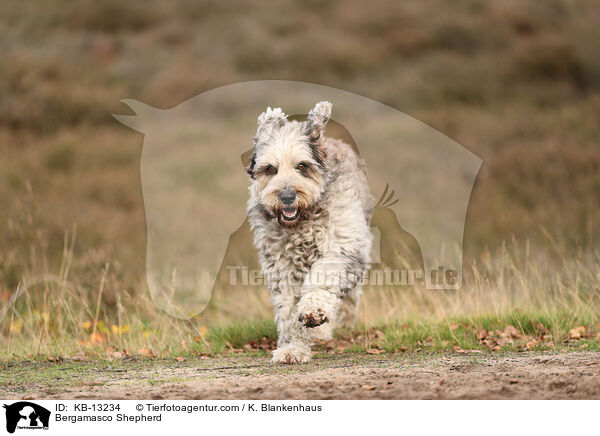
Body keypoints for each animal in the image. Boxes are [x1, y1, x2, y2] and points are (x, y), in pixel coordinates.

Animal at [246, 102, 372, 364]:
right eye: (270, 169)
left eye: (302, 166)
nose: (286, 196)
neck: (303, 221)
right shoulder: (281, 265)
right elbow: (288, 309)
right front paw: (292, 348)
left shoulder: (342, 245)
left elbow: (323, 276)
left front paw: (313, 309)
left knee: (349, 297)